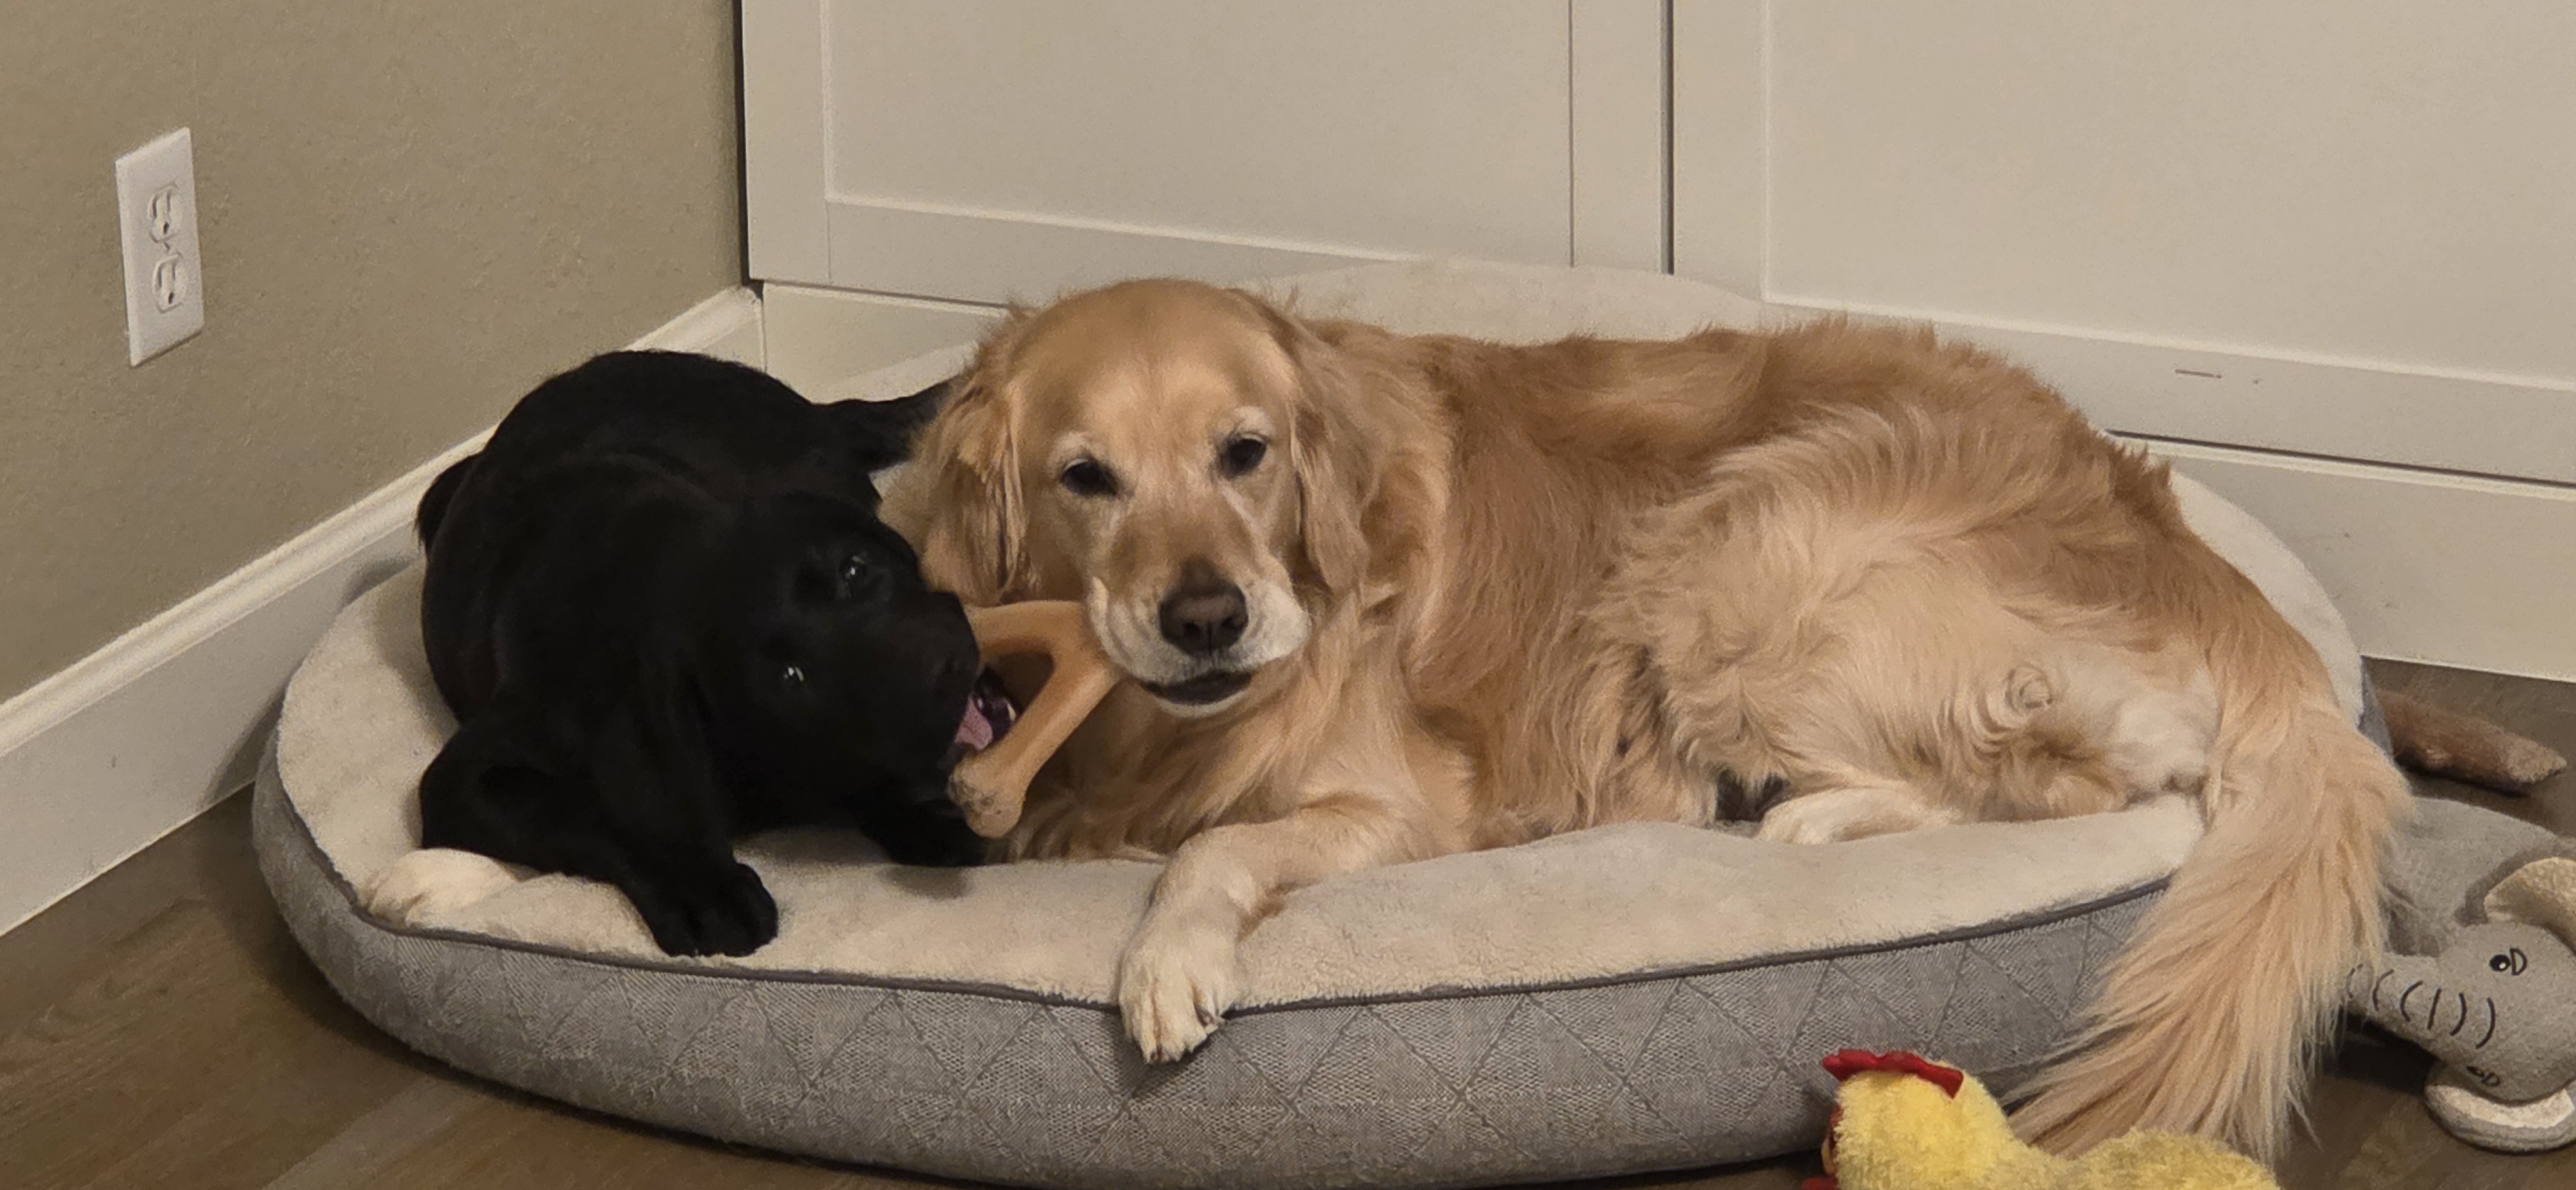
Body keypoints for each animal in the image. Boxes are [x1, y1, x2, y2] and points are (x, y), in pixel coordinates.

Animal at [415, 350, 1000, 958]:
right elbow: (589, 817)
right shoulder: (460, 783)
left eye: (855, 570)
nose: (945, 673)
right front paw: (702, 888)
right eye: (791, 676)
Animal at [881, 280, 2411, 1160]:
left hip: (1739, 543)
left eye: (1243, 453)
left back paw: (1803, 820)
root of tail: (2183, 544)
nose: (1205, 618)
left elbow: (1220, 846)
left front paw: (1165, 962)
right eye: (1085, 477)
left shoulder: (1407, 803)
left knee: (2061, 779)